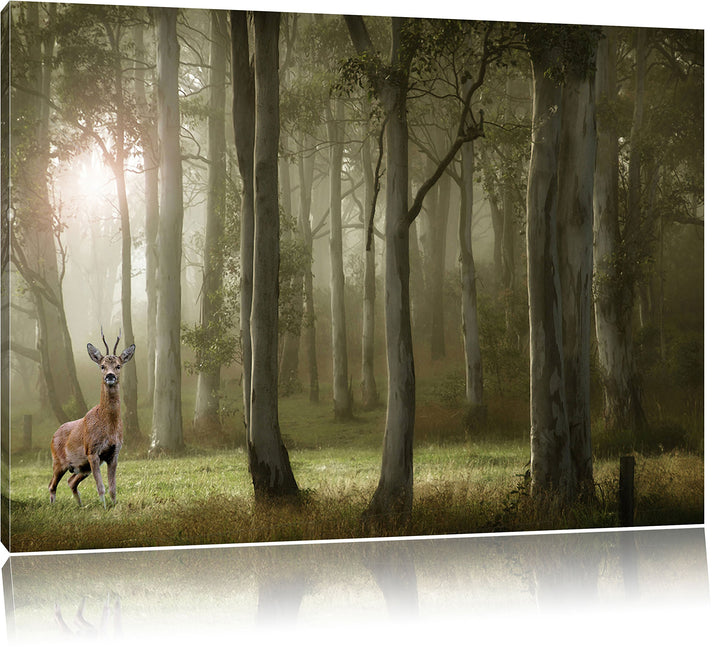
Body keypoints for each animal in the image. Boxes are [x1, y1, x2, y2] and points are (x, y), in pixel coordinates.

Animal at [48, 329, 135, 508]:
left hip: (82, 467)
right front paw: (104, 508)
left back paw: (80, 506)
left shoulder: (114, 453)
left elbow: (113, 487)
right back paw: (53, 507)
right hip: (58, 461)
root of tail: (53, 435)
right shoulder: (92, 451)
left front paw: (114, 505)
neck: (109, 426)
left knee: (71, 481)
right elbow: (101, 487)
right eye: (102, 366)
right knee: (52, 485)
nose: (110, 376)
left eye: (118, 365)